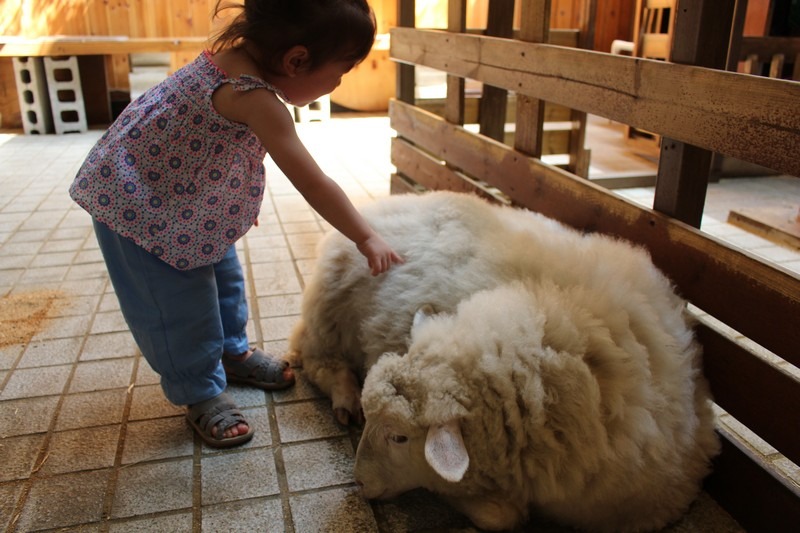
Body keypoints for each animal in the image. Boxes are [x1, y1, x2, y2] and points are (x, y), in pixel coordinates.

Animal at [288, 191, 720, 532]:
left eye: (399, 437)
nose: (359, 483)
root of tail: (382, 203)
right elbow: (500, 516)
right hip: (329, 312)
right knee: (312, 358)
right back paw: (344, 396)